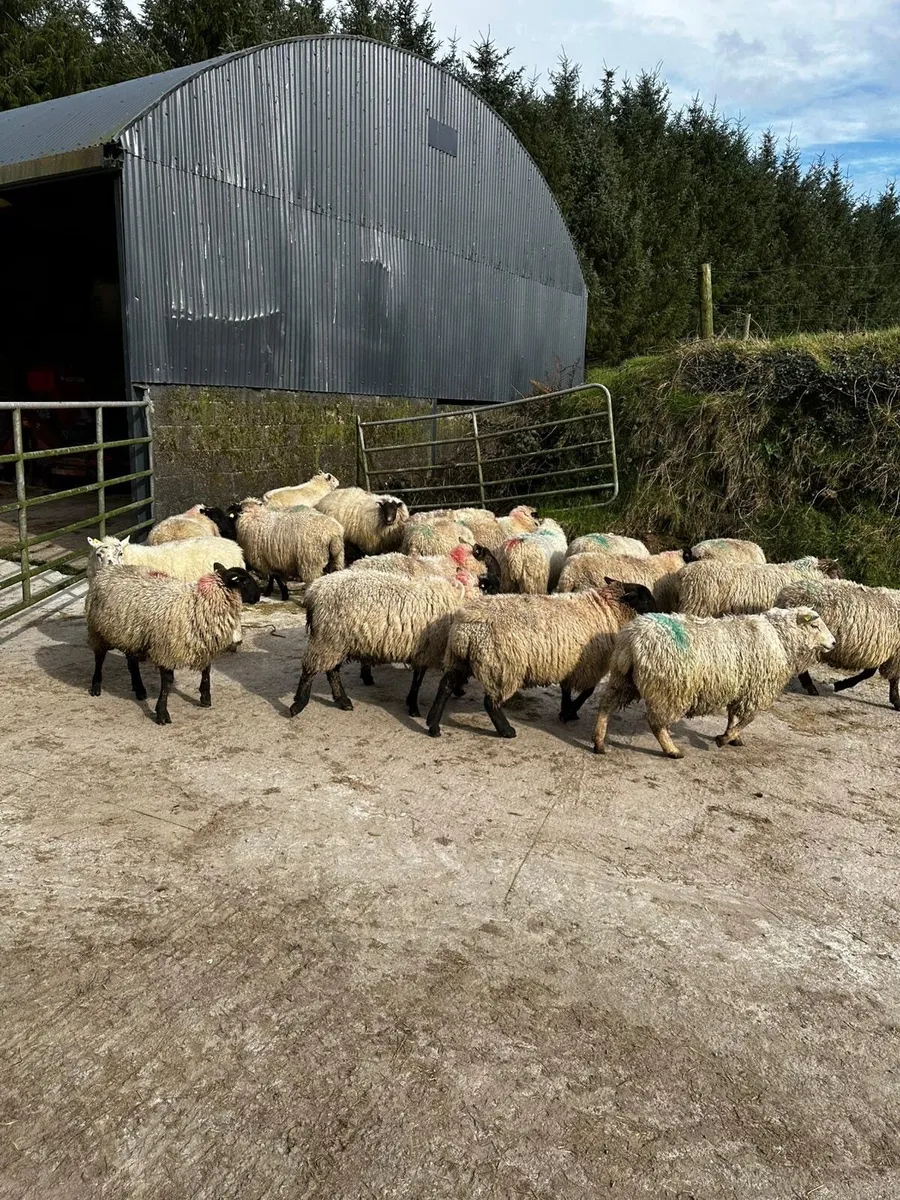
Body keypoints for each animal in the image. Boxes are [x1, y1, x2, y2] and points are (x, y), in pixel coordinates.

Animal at [86, 563, 261, 725]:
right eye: (245, 581)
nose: (258, 596)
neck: (198, 603)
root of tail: (107, 570)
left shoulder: (203, 645)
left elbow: (206, 671)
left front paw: (205, 697)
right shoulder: (166, 649)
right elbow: (167, 683)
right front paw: (162, 713)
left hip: (131, 634)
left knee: (132, 662)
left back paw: (140, 689)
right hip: (97, 630)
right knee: (99, 658)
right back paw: (96, 687)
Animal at [290, 568, 490, 720]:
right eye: (479, 585)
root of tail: (314, 591)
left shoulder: (422, 650)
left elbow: (418, 678)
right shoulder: (426, 650)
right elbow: (418, 680)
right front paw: (413, 707)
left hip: (335, 640)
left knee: (331, 670)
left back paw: (343, 701)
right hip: (327, 638)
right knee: (310, 669)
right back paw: (298, 704)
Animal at [425, 580, 658, 739]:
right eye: (646, 598)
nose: (660, 613)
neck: (606, 609)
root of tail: (467, 630)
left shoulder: (570, 663)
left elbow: (566, 689)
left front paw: (565, 710)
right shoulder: (589, 665)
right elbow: (587, 692)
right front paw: (570, 711)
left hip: (459, 659)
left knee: (446, 686)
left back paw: (433, 725)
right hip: (501, 665)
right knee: (490, 702)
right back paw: (507, 731)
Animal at [592, 607, 835, 758]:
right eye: (814, 627)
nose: (833, 643)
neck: (779, 639)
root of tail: (632, 640)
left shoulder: (741, 686)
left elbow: (733, 715)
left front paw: (733, 737)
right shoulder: (755, 689)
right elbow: (748, 718)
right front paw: (725, 738)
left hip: (623, 678)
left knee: (606, 704)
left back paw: (599, 742)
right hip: (670, 688)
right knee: (656, 723)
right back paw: (672, 750)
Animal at [774, 578, 900, 710]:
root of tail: (788, 594)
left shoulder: (881, 652)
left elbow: (869, 673)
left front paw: (841, 685)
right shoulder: (895, 655)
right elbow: (892, 678)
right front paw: (897, 701)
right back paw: (810, 687)